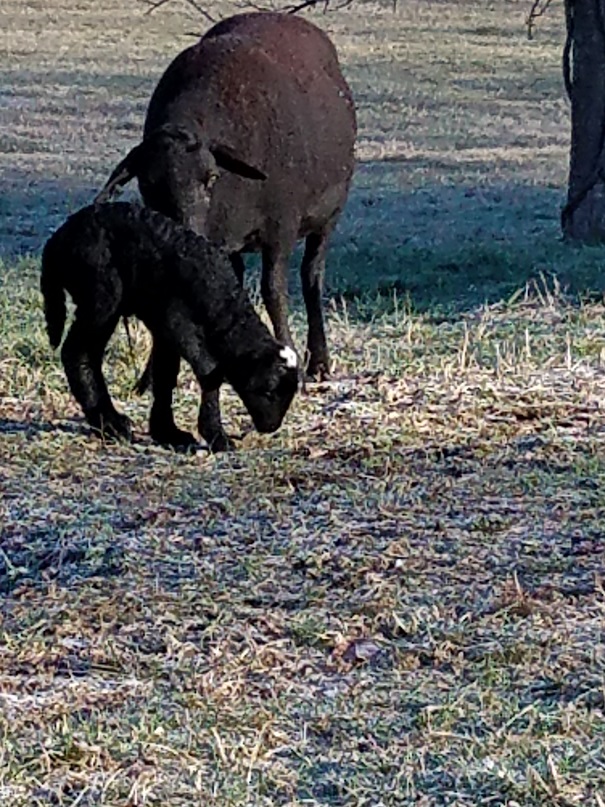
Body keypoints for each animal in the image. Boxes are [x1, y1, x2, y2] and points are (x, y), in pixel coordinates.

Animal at [40, 201, 300, 452]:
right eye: (268, 391)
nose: (271, 427)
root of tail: (57, 239)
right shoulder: (174, 318)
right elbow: (209, 370)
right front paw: (216, 436)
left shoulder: (163, 328)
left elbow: (166, 370)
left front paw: (166, 431)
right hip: (100, 293)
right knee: (76, 351)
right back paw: (110, 425)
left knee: (88, 353)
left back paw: (108, 421)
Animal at [96, 12, 356, 452]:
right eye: (148, 184)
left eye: (211, 178)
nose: (183, 232)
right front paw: (152, 378)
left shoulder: (281, 228)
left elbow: (274, 292)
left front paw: (294, 366)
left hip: (327, 218)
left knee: (311, 278)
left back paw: (319, 362)